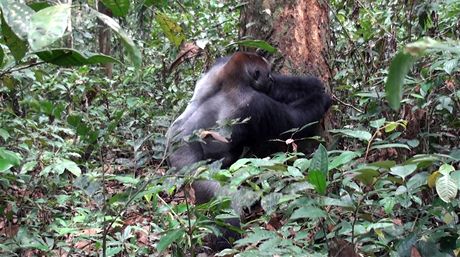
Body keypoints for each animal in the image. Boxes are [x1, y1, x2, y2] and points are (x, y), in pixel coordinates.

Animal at [165, 51, 330, 249]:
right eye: (267, 75)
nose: (271, 79)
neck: (231, 79)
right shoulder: (256, 104)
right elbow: (293, 122)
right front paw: (321, 99)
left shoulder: (219, 66)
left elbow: (281, 90)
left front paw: (311, 84)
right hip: (190, 171)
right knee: (225, 205)